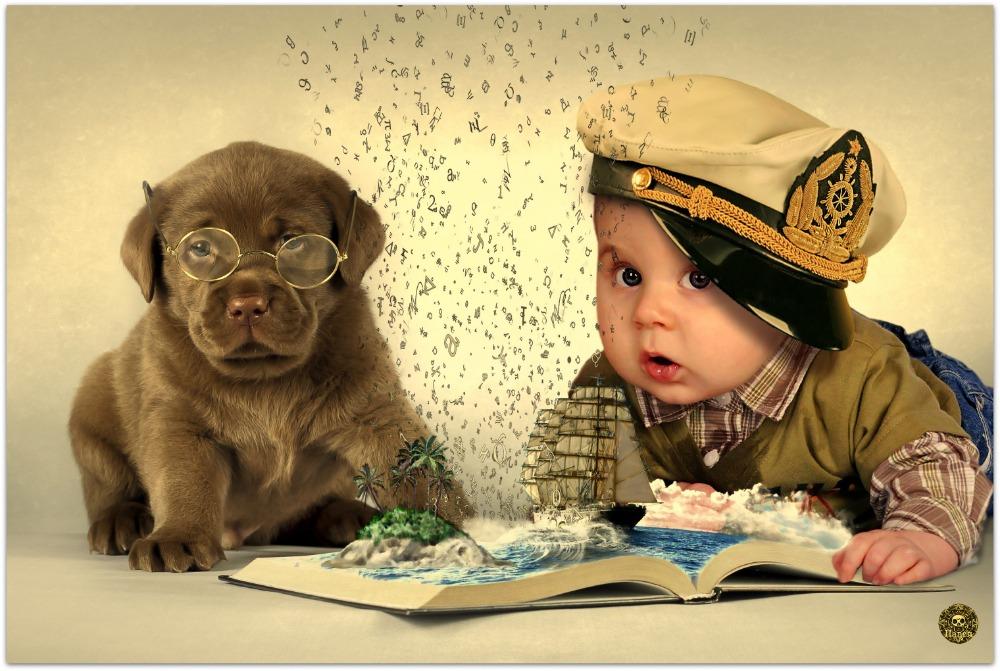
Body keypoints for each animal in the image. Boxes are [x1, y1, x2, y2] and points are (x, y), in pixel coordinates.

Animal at [68, 141, 472, 572]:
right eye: (200, 248)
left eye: (292, 242)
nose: (248, 304)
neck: (261, 377)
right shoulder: (176, 421)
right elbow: (183, 480)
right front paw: (177, 536)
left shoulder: (377, 411)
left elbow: (418, 474)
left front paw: (461, 530)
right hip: (93, 405)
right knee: (109, 485)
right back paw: (121, 521)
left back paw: (348, 516)